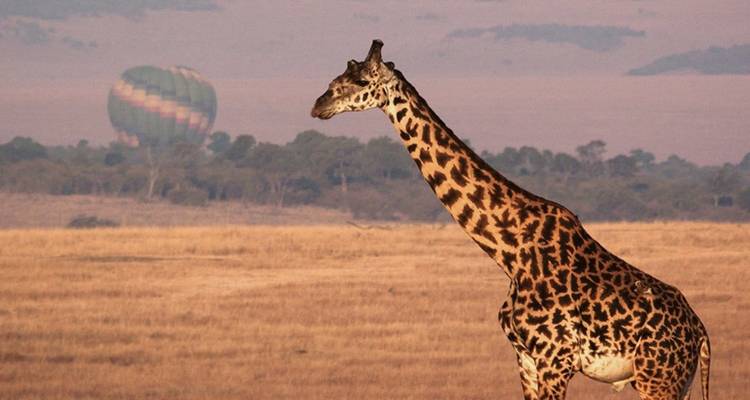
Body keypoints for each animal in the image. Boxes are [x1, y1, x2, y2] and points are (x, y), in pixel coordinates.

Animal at [311, 40, 711, 400]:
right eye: (338, 76)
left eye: (360, 80)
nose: (319, 104)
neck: (510, 251)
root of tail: (700, 333)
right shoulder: (526, 359)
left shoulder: (555, 360)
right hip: (676, 383)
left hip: (657, 379)